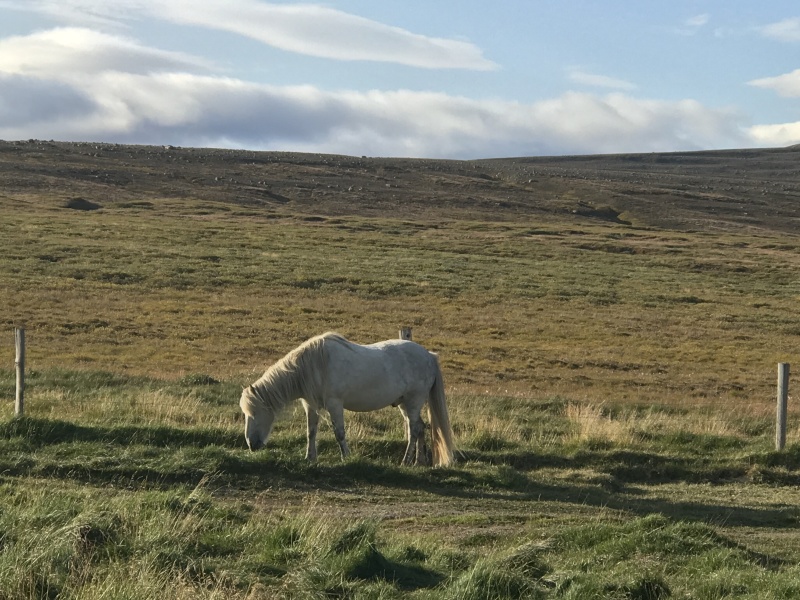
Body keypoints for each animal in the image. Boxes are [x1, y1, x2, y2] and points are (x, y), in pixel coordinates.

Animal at [239, 332, 455, 467]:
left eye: (255, 412)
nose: (251, 444)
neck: (314, 365)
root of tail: (429, 355)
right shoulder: (310, 405)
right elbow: (311, 432)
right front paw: (310, 457)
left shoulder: (335, 404)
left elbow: (339, 433)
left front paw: (346, 457)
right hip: (405, 404)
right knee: (420, 427)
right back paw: (418, 462)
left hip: (413, 402)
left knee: (414, 429)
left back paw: (405, 461)